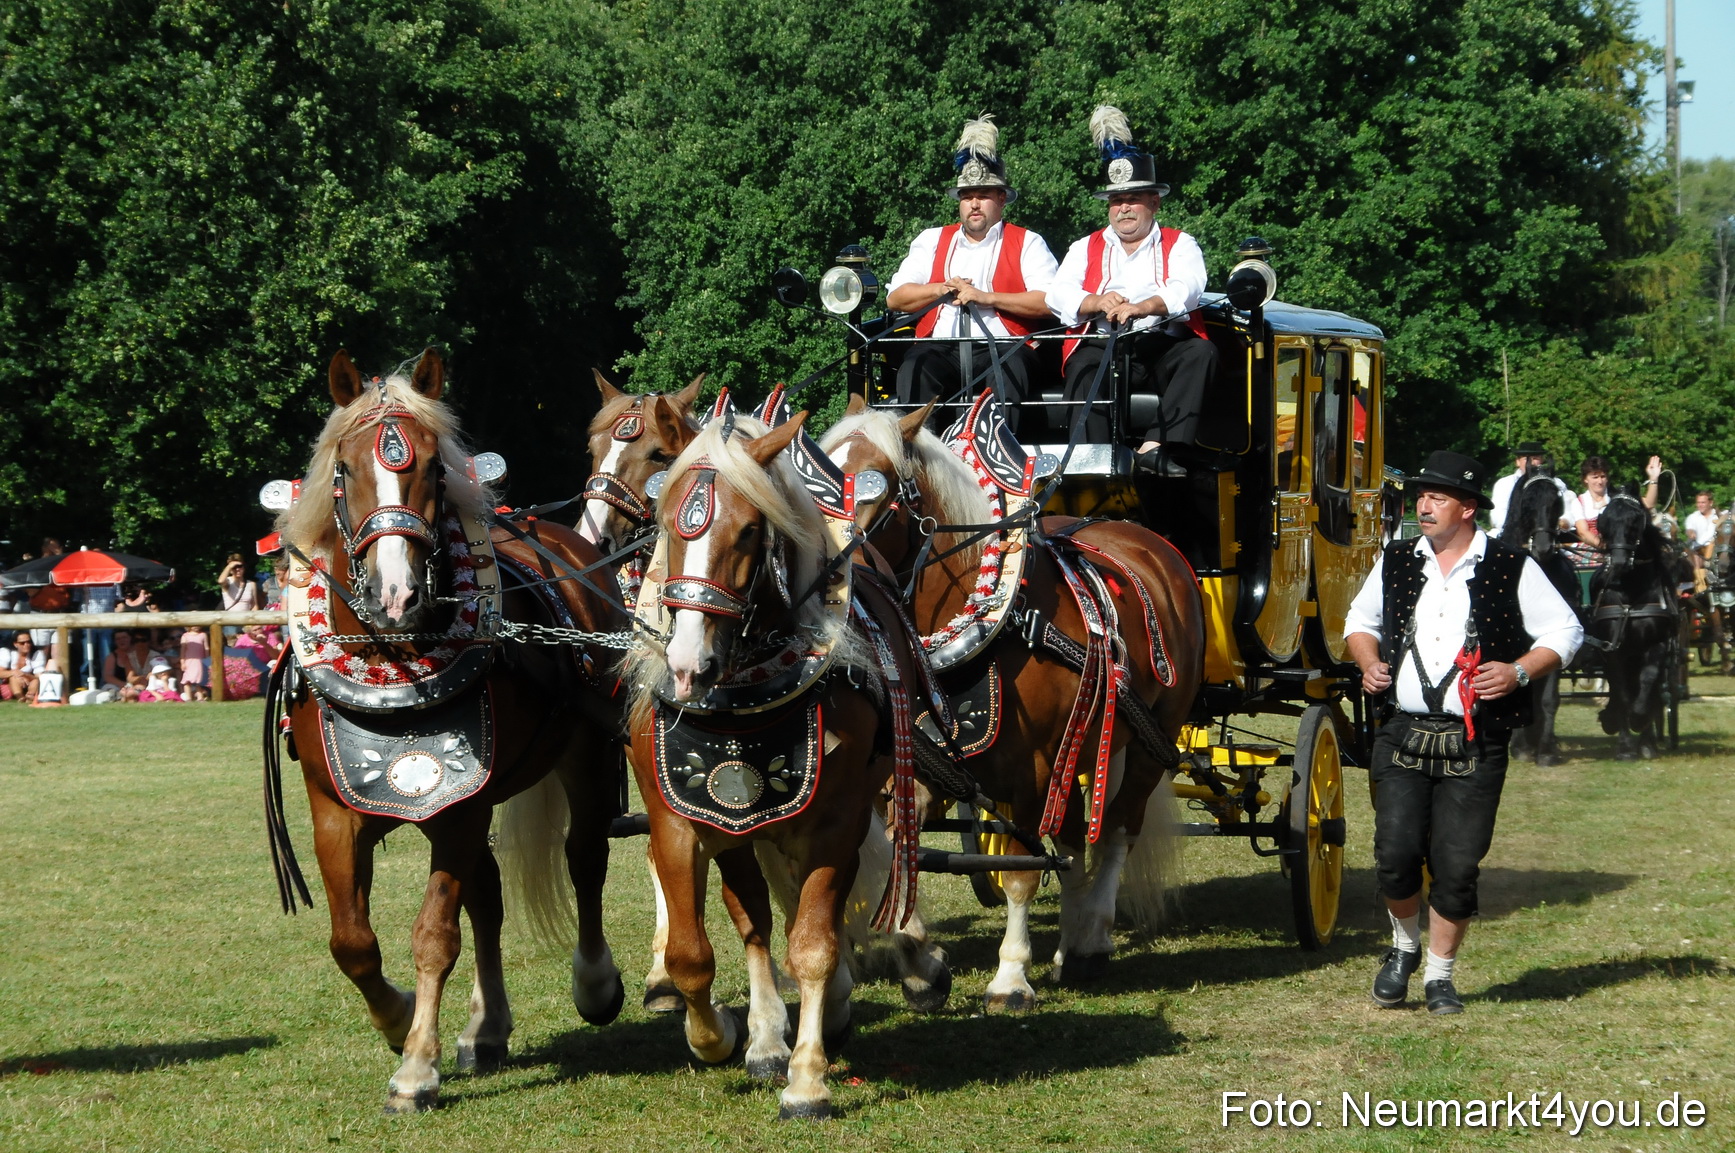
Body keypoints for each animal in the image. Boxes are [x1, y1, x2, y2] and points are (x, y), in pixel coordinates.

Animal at [269, 350, 627, 1113]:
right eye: (344, 468)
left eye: (435, 469)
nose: (397, 594)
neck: (394, 661)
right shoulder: (333, 809)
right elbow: (352, 941)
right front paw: (400, 1017)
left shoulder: (458, 805)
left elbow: (434, 933)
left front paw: (415, 1067)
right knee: (487, 895)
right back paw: (485, 1028)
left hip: (581, 754)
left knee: (583, 857)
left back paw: (594, 981)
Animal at [621, 412, 931, 1119]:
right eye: (668, 523)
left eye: (748, 531)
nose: (688, 666)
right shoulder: (678, 819)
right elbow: (691, 954)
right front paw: (720, 1035)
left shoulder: (836, 823)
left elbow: (814, 944)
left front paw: (808, 1078)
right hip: (739, 827)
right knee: (756, 921)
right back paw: (764, 1038)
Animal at [820, 397, 1203, 1009]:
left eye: (873, 486)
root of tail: (1151, 543)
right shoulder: (910, 763)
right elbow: (896, 854)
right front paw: (920, 963)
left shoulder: (1034, 769)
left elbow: (1022, 870)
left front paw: (1010, 976)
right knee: (1072, 840)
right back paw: (1071, 942)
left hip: (1150, 743)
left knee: (1117, 831)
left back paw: (1093, 938)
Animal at [1499, 465, 1579, 766]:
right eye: (1528, 502)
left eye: (1557, 501)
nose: (1543, 547)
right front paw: (1521, 748)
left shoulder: (1556, 641)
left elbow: (1549, 698)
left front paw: (1545, 750)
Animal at [1588, 491, 1682, 760]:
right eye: (1605, 521)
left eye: (1635, 520)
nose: (1619, 562)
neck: (1631, 593)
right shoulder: (1614, 650)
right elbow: (1621, 692)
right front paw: (1624, 745)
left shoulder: (1657, 645)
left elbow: (1647, 685)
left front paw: (1641, 727)